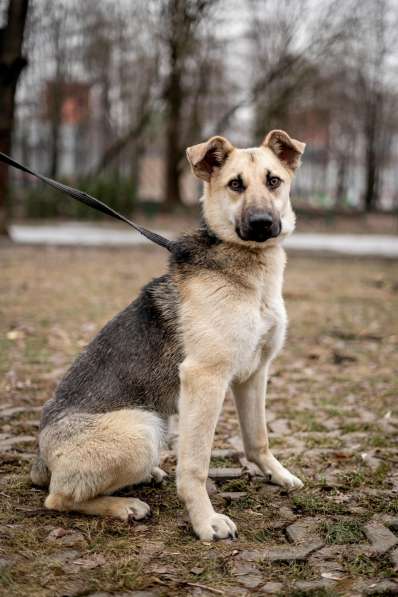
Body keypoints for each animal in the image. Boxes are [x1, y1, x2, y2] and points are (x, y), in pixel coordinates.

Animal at [31, 129, 304, 540]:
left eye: (274, 181)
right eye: (235, 185)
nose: (261, 223)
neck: (247, 271)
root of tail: (41, 458)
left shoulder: (254, 375)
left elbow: (257, 438)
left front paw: (278, 474)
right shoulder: (205, 379)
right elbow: (195, 465)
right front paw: (205, 521)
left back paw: (146, 477)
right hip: (143, 429)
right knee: (58, 498)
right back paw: (123, 505)